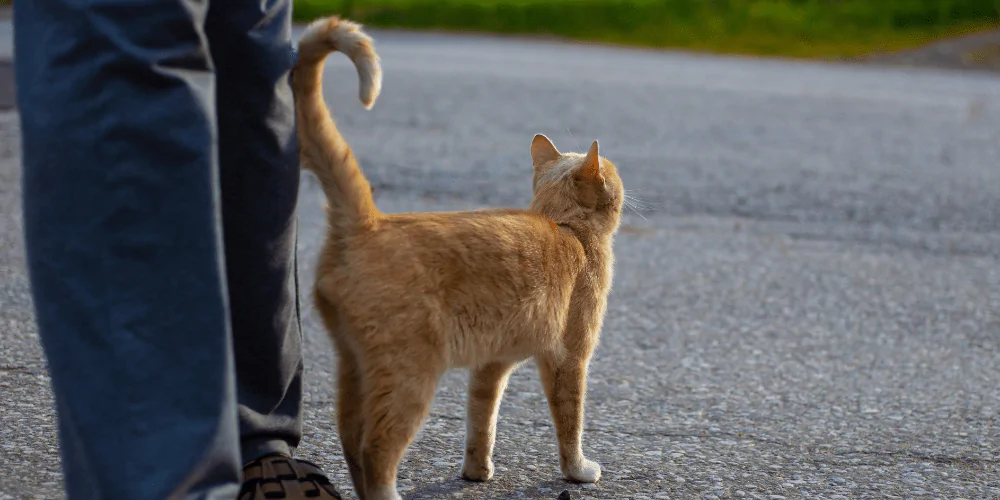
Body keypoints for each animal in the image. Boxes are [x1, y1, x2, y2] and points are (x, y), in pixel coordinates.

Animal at [292, 15, 624, 500]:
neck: (567, 228)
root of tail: (369, 221)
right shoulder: (569, 358)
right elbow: (570, 421)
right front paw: (578, 471)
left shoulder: (490, 364)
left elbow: (481, 420)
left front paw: (476, 472)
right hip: (409, 375)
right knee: (376, 450)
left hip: (353, 365)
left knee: (349, 439)